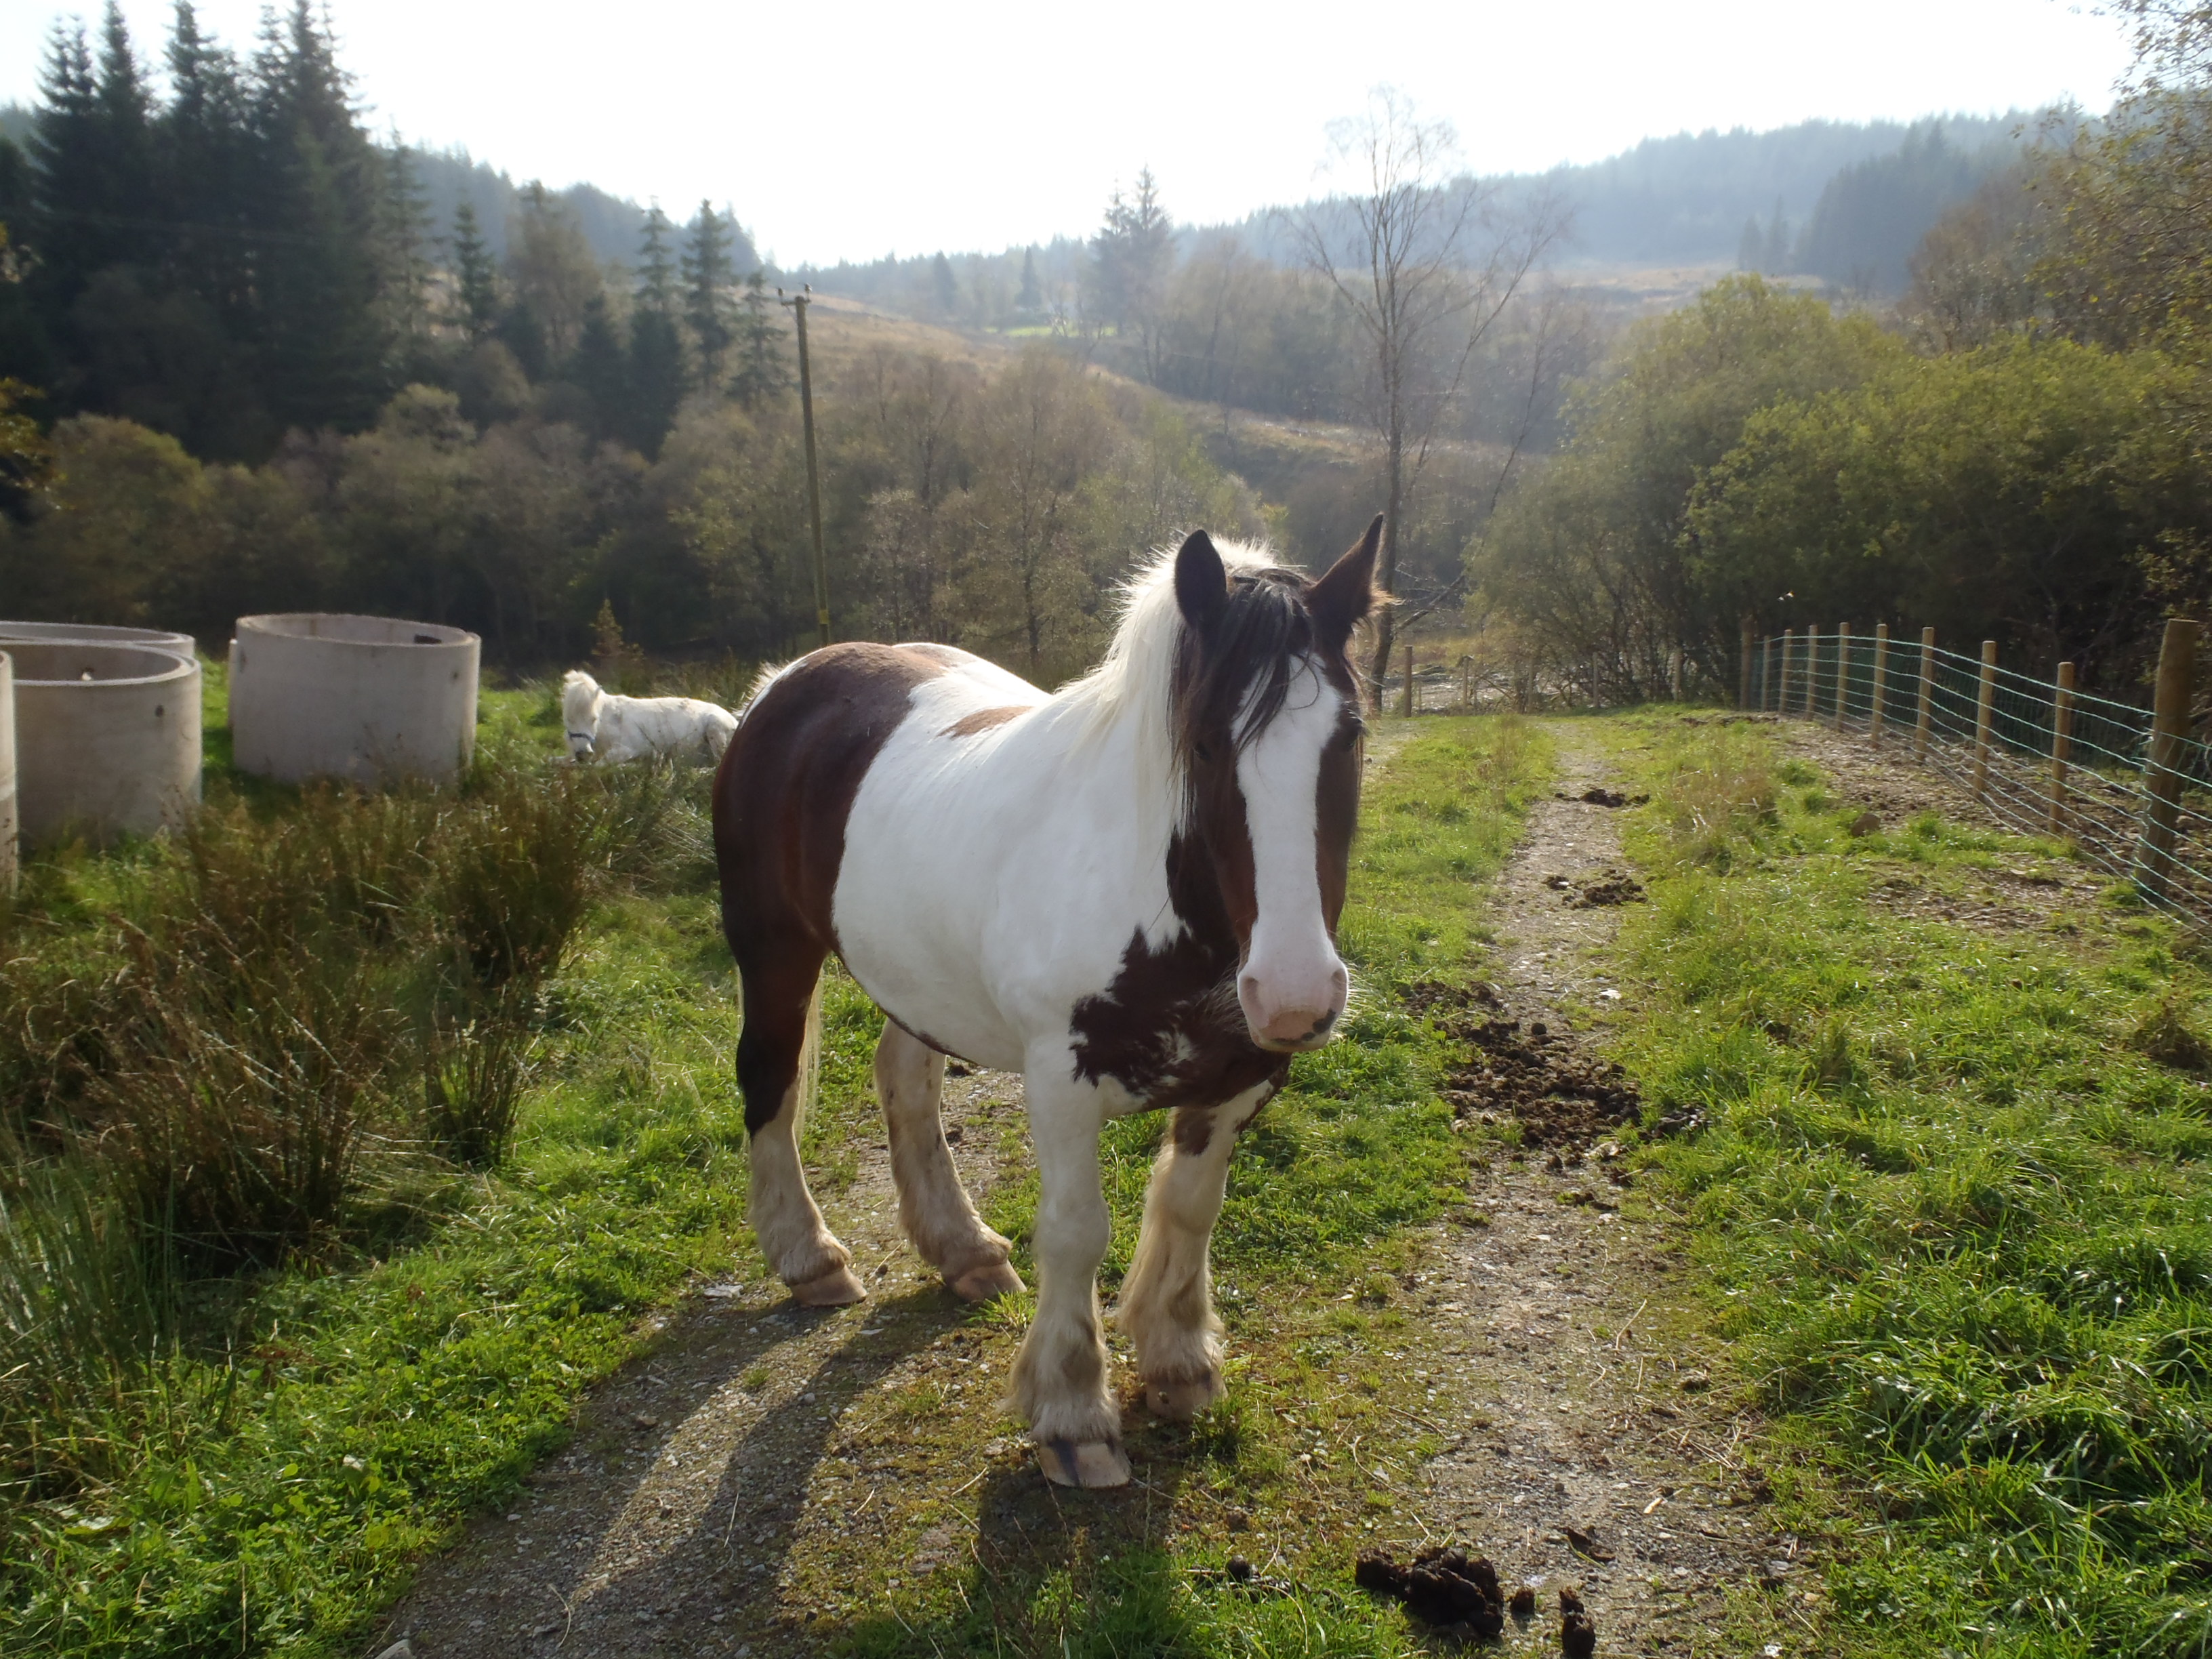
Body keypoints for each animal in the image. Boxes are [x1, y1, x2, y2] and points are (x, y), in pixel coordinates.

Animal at [557, 668, 739, 765]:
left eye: (594, 719)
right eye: (568, 719)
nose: (582, 754)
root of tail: (736, 721)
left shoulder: (626, 750)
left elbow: (595, 766)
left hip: (715, 730)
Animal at [712, 517, 1380, 1495]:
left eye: (1351, 735)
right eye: (1205, 744)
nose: (1294, 997)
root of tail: (783, 684)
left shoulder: (1238, 1078)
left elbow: (1191, 1207)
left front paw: (1179, 1359)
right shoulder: (1062, 1082)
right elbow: (1075, 1233)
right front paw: (1072, 1411)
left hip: (916, 973)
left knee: (905, 1081)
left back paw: (962, 1248)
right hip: (772, 952)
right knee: (770, 1081)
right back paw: (809, 1257)